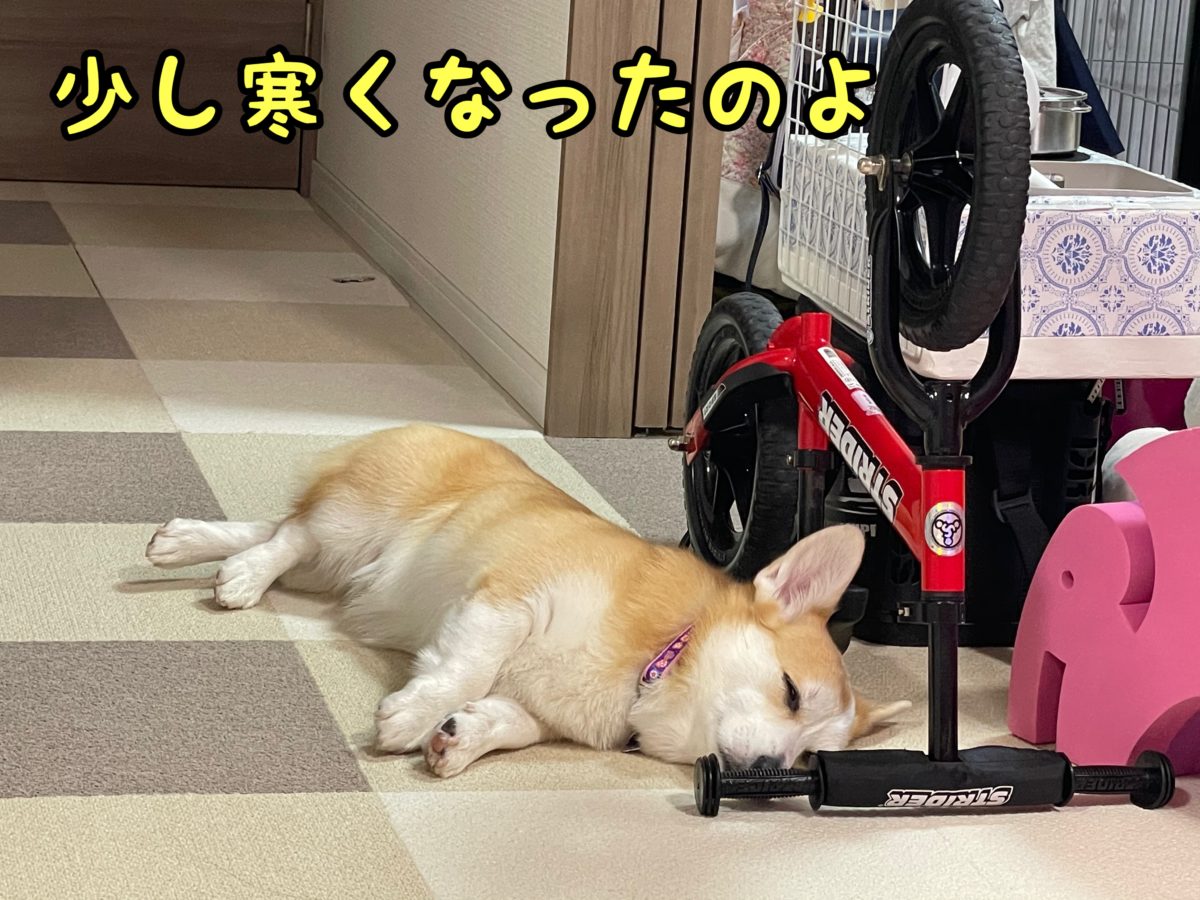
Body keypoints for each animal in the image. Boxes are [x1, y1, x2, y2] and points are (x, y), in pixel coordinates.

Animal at [146, 425, 907, 777]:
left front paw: (455, 738)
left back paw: (185, 543)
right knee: (291, 533)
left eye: (808, 762)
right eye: (790, 693)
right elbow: (466, 668)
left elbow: (508, 721)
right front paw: (409, 717)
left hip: (335, 568)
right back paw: (243, 576)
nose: (772, 770)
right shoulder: (508, 601)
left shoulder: (538, 708)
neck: (662, 654)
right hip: (352, 527)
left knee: (274, 531)